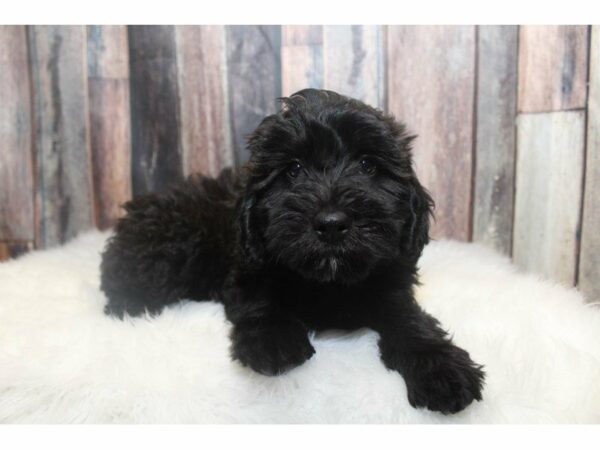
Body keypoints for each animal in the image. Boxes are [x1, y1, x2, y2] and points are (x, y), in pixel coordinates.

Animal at [101, 89, 486, 414]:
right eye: (294, 170)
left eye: (367, 165)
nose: (331, 223)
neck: (327, 281)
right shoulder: (247, 265)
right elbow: (259, 300)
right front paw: (273, 340)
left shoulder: (390, 280)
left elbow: (410, 319)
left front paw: (441, 368)